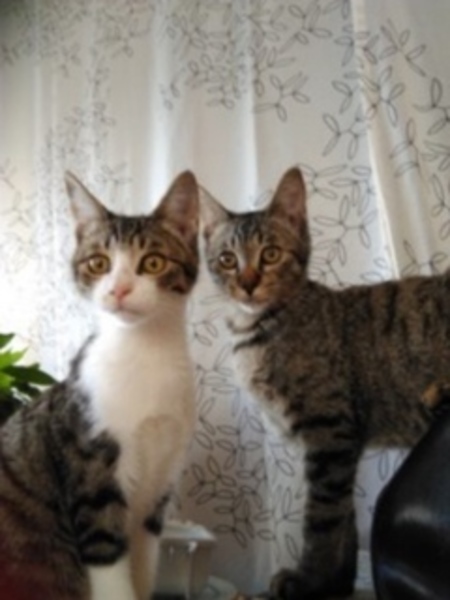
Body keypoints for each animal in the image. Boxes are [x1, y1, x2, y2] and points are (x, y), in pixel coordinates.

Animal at [0, 170, 199, 600]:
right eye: (98, 263)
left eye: (152, 262)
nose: (118, 289)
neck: (144, 352)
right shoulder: (92, 473)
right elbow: (109, 562)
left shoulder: (158, 490)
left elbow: (144, 567)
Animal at [200, 166, 449, 600]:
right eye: (227, 260)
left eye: (270, 254)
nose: (247, 283)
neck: (258, 330)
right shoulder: (333, 442)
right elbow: (343, 516)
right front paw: (334, 583)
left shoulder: (330, 431)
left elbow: (322, 518)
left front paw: (309, 579)